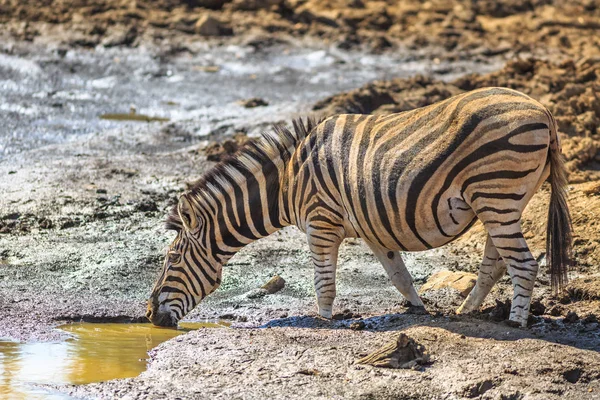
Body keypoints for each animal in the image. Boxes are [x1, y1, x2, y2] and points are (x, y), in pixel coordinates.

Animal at [145, 87, 572, 328]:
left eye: (172, 259)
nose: (150, 317)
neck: (288, 180)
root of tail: (544, 110)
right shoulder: (373, 228)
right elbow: (399, 276)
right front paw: (418, 309)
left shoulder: (320, 221)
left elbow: (324, 281)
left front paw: (324, 321)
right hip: (502, 200)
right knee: (495, 262)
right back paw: (466, 311)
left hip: (495, 193)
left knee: (523, 263)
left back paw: (516, 322)